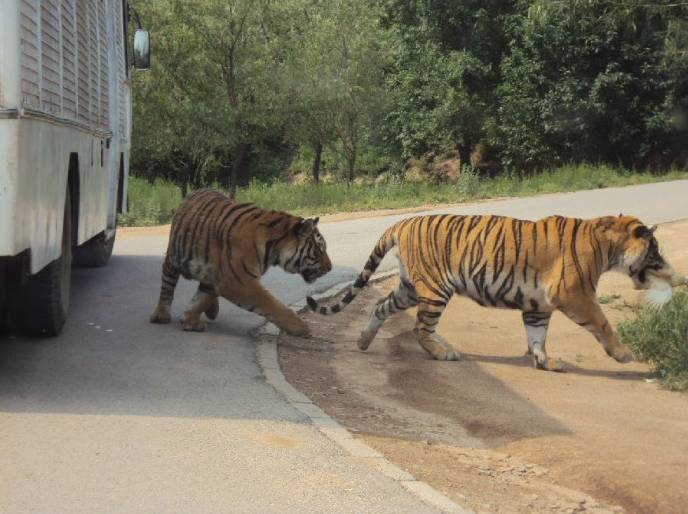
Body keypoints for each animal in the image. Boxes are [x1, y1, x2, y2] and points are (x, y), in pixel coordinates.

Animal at [151, 189, 334, 336]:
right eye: (319, 250)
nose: (330, 268)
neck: (274, 249)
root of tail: (193, 193)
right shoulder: (239, 282)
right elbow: (272, 304)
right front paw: (301, 327)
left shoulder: (221, 278)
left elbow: (200, 299)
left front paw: (190, 320)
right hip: (175, 257)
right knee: (167, 284)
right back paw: (161, 314)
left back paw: (211, 311)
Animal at [308, 212, 688, 368]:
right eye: (655, 251)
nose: (670, 272)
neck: (608, 247)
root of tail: (402, 222)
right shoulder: (574, 294)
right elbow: (603, 323)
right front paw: (624, 355)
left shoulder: (539, 304)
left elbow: (537, 336)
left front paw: (545, 363)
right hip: (435, 289)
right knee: (420, 327)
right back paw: (443, 353)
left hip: (409, 287)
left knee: (380, 306)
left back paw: (363, 340)